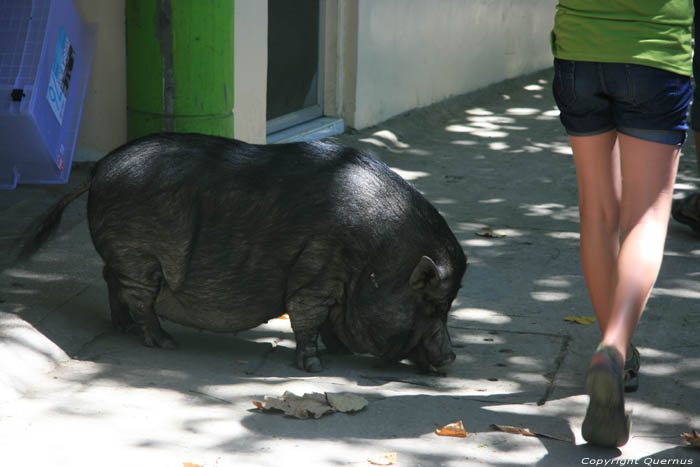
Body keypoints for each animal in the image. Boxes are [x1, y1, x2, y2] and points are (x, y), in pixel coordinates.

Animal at [21, 134, 468, 372]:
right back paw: (164, 343)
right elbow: (307, 318)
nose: (450, 357)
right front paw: (316, 366)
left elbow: (325, 321)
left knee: (111, 281)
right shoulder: (317, 273)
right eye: (432, 304)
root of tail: (100, 168)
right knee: (138, 297)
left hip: (124, 257)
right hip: (138, 256)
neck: (376, 258)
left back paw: (124, 328)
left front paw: (336, 351)